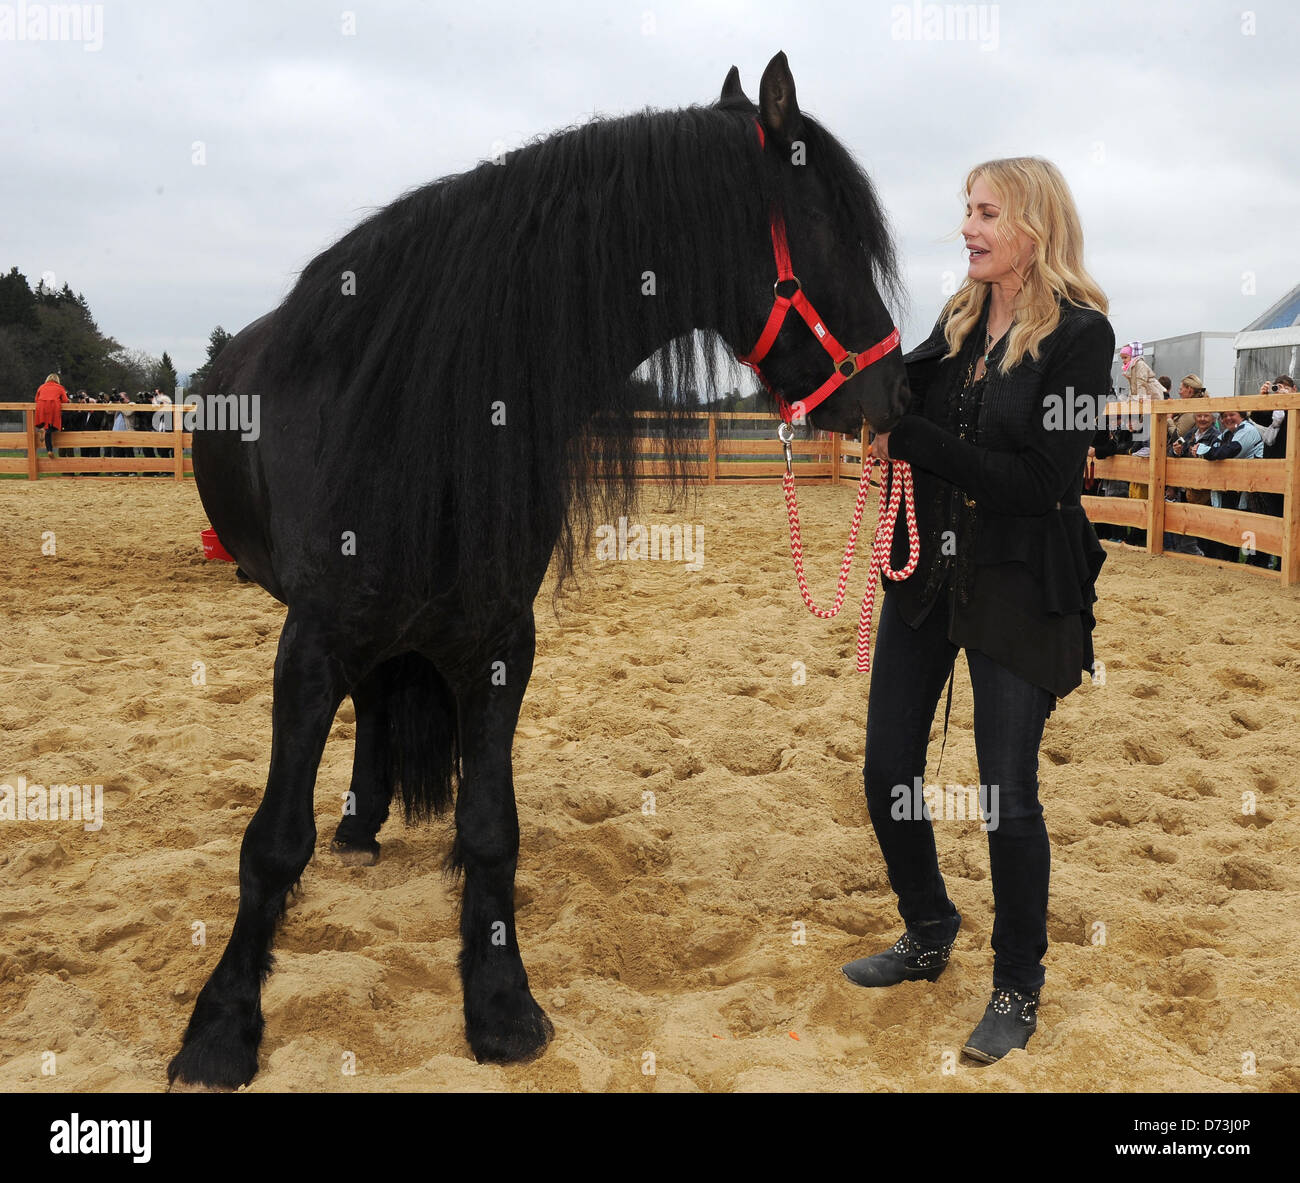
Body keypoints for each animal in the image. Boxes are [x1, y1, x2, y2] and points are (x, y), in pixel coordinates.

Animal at [170, 53, 904, 1092]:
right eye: (835, 228)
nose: (897, 391)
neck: (427, 406)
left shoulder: (498, 640)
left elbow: (490, 826)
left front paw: (501, 1002)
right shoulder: (310, 641)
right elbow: (273, 840)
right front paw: (222, 1024)